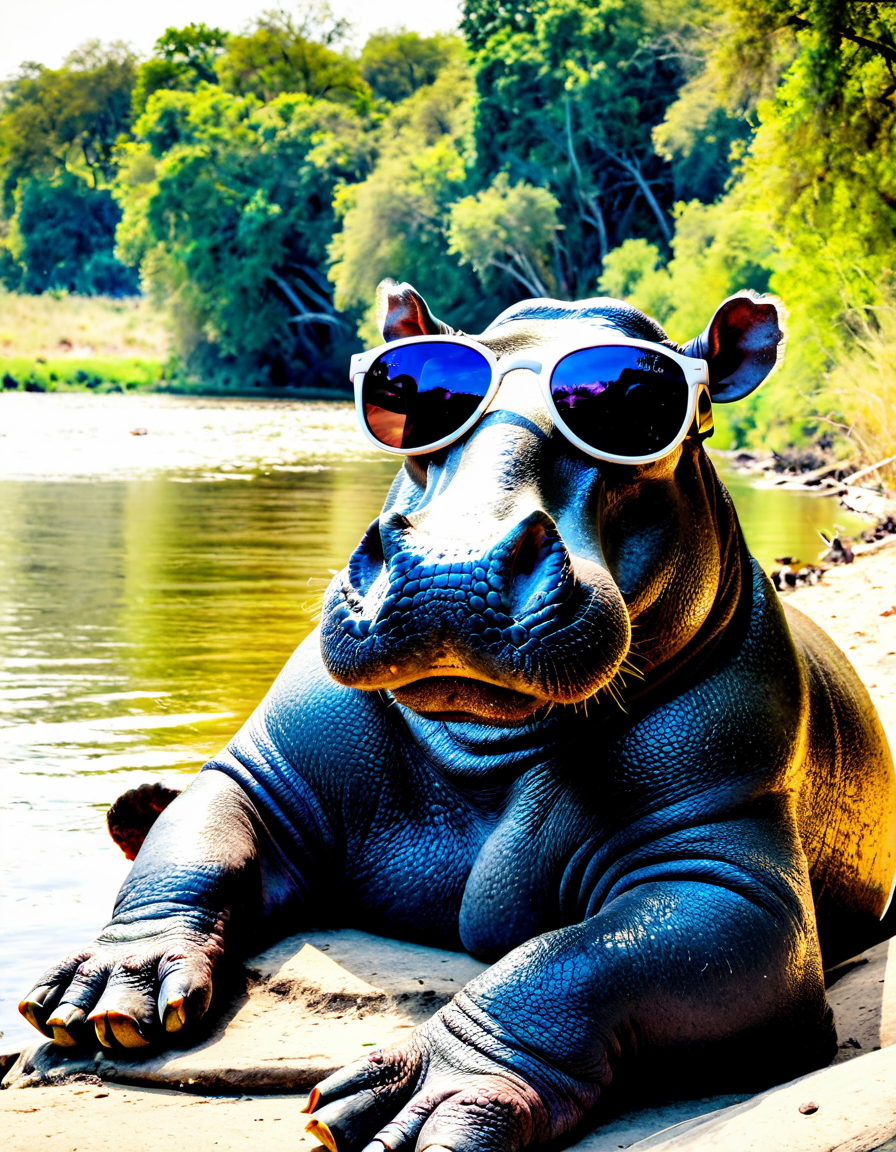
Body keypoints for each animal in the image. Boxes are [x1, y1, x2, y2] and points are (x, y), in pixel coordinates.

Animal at [21, 282, 896, 1152]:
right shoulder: (264, 774)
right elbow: (192, 848)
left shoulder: (726, 876)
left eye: (656, 404)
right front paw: (102, 992)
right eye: (409, 392)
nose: (452, 566)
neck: (485, 746)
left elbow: (572, 964)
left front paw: (417, 1098)